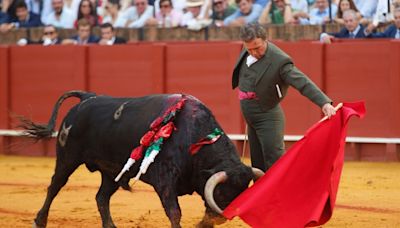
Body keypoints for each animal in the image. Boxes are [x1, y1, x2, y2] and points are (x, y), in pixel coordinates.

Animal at [22, 91, 262, 228]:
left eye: (243, 192)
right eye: (221, 192)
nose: (222, 217)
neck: (197, 138)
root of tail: (87, 98)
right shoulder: (165, 180)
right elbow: (174, 212)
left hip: (112, 171)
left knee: (101, 197)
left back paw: (111, 227)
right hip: (67, 158)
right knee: (55, 186)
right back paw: (39, 221)